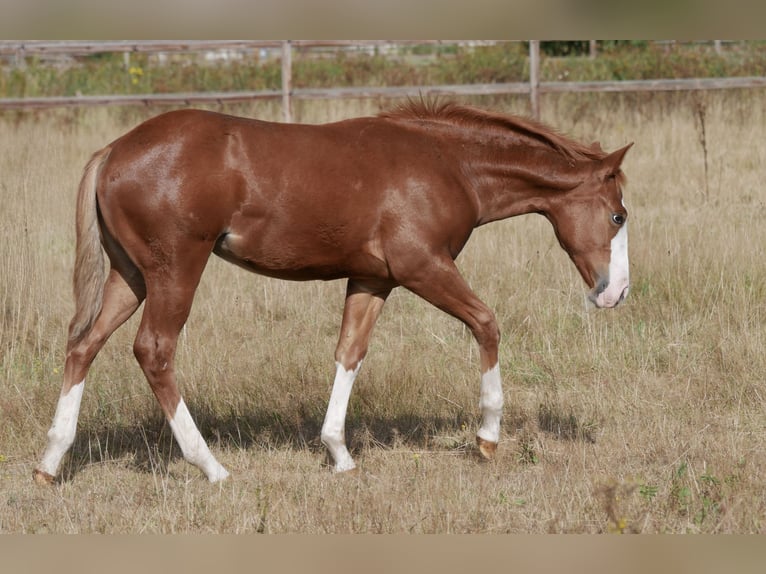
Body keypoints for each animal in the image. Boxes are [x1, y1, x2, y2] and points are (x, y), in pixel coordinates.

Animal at [33, 100, 631, 484]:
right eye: (618, 216)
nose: (615, 294)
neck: (449, 163)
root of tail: (113, 150)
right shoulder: (423, 266)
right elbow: (486, 323)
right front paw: (487, 438)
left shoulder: (373, 279)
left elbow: (349, 353)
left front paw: (339, 453)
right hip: (176, 268)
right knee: (153, 351)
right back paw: (211, 467)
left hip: (130, 275)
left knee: (82, 346)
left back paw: (51, 461)